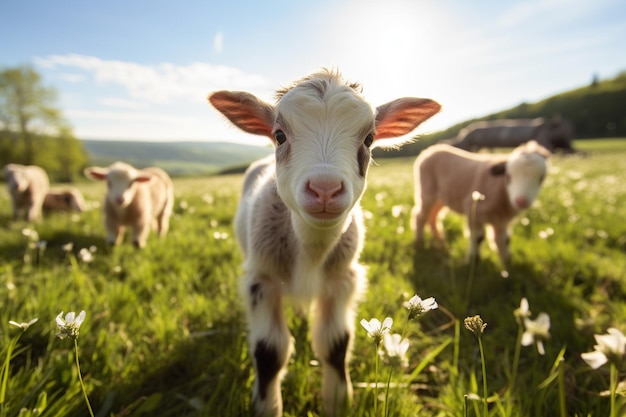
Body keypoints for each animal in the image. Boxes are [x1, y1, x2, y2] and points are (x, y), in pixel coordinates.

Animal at [412, 139, 548, 264]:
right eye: (508, 176)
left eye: (541, 178)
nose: (521, 201)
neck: (501, 189)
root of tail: (430, 150)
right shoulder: (474, 211)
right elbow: (478, 238)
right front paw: (473, 261)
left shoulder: (501, 219)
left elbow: (504, 239)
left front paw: (506, 263)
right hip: (427, 193)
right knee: (420, 216)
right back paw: (419, 244)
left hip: (441, 197)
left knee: (433, 217)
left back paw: (441, 243)